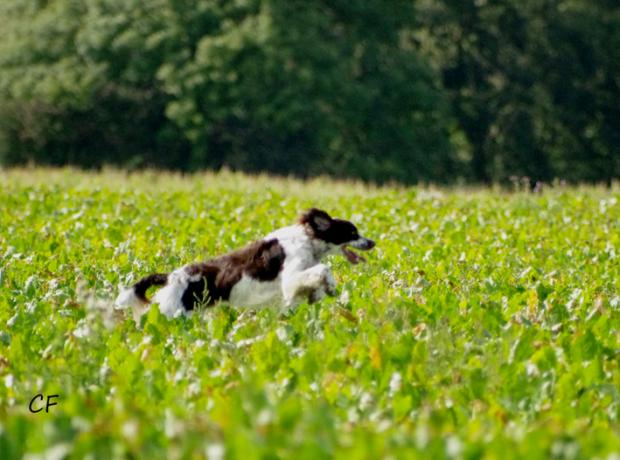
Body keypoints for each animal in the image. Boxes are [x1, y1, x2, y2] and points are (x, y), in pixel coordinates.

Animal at [115, 210, 376, 318]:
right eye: (352, 232)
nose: (372, 242)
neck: (308, 239)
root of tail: (171, 277)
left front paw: (319, 293)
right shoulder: (290, 276)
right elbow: (323, 269)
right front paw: (330, 286)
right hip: (173, 313)